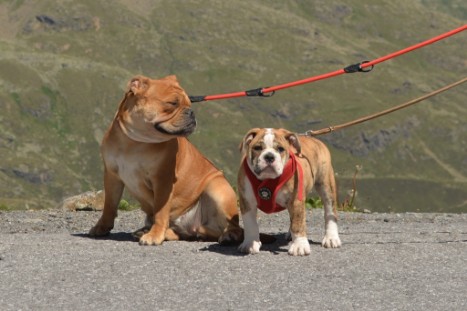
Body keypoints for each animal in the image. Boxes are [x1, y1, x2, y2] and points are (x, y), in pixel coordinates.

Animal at [88, 75, 243, 246]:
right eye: (172, 103)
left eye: (189, 103)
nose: (191, 112)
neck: (134, 142)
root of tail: (193, 227)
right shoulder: (112, 176)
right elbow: (109, 205)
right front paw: (102, 227)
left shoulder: (162, 180)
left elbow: (160, 212)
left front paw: (154, 235)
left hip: (217, 189)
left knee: (233, 227)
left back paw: (228, 235)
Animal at [239, 128, 342, 258]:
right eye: (257, 148)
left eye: (280, 149)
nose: (269, 156)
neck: (269, 180)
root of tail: (314, 139)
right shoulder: (246, 201)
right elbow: (250, 224)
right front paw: (250, 243)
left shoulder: (296, 200)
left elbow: (298, 222)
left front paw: (299, 246)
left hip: (326, 185)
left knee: (330, 212)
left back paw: (331, 238)